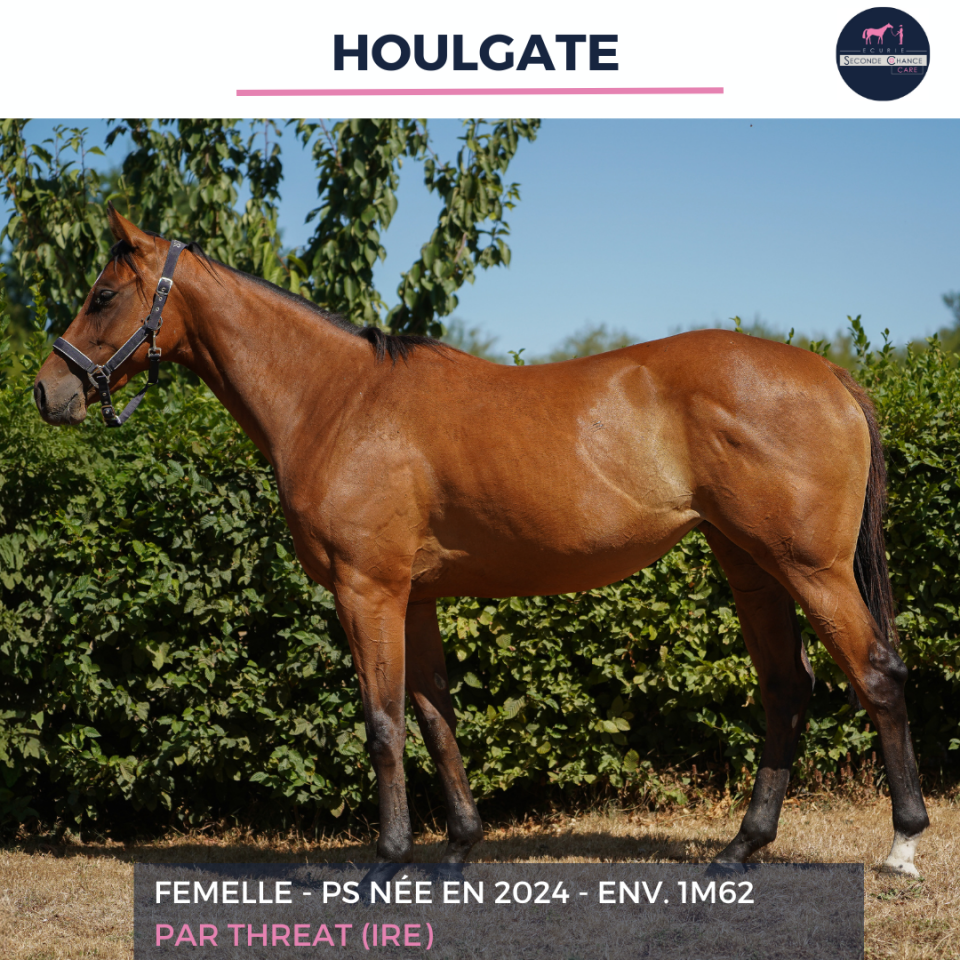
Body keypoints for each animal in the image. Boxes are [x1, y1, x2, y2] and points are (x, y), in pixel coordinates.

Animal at [33, 207, 928, 875]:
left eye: (104, 294)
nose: (48, 392)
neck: (338, 400)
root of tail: (828, 373)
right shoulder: (415, 596)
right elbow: (435, 715)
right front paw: (460, 847)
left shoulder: (367, 589)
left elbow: (383, 722)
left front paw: (389, 860)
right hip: (750, 565)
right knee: (786, 689)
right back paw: (743, 846)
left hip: (811, 568)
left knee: (876, 676)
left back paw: (903, 844)